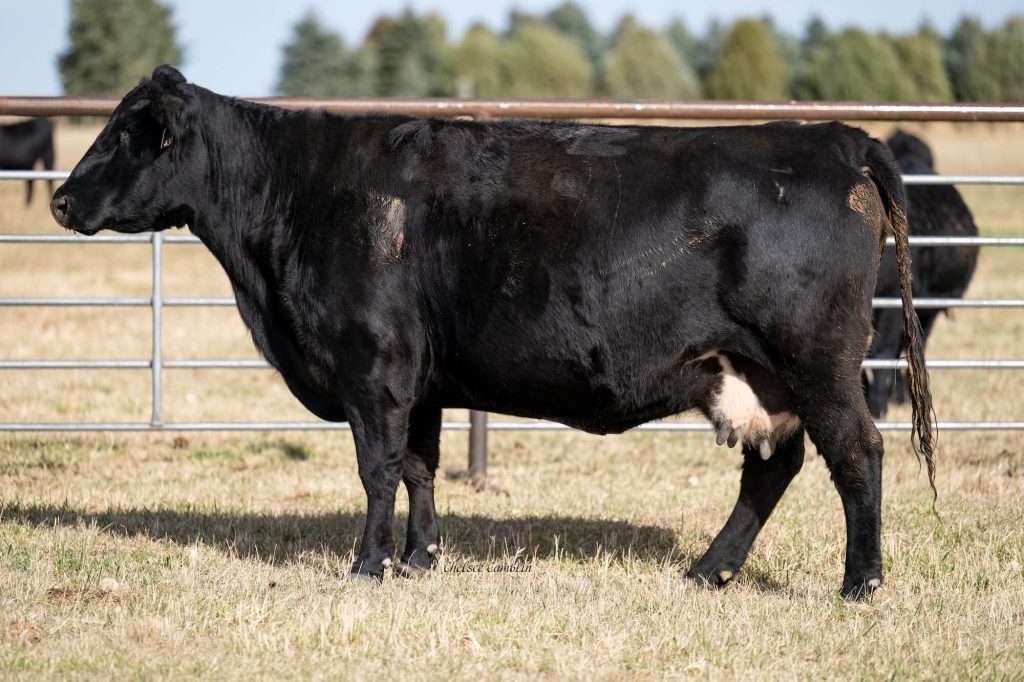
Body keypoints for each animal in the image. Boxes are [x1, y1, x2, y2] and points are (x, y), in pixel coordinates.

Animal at [51, 66, 935, 599]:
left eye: (125, 136)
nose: (59, 200)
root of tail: (835, 135)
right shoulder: (422, 383)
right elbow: (419, 468)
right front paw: (419, 560)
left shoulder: (372, 368)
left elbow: (376, 470)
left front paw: (367, 565)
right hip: (757, 372)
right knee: (773, 467)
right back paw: (709, 571)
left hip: (816, 360)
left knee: (856, 455)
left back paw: (860, 583)